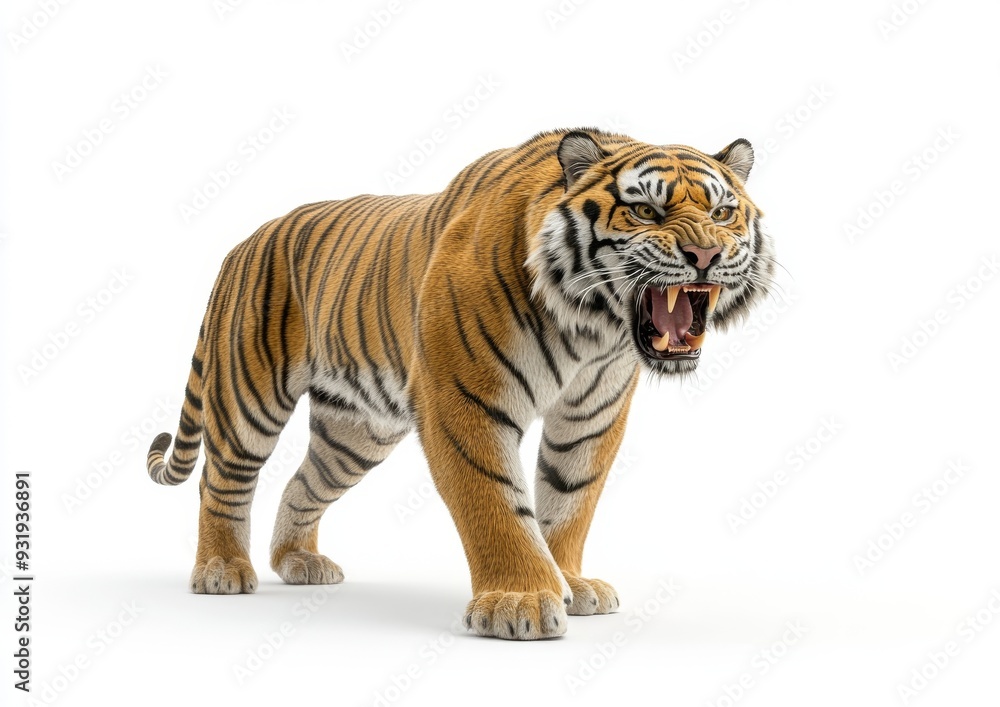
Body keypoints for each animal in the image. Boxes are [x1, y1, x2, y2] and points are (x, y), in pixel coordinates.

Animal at [147, 128, 775, 640]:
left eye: (723, 213)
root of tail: (244, 242)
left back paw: (300, 563)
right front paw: (518, 601)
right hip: (249, 394)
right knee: (222, 482)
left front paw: (570, 582)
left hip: (357, 432)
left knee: (302, 484)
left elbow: (571, 498)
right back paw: (222, 570)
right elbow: (494, 500)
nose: (705, 253)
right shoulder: (464, 398)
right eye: (645, 211)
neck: (592, 328)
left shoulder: (592, 414)